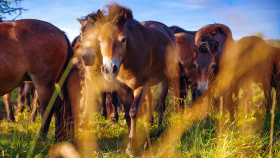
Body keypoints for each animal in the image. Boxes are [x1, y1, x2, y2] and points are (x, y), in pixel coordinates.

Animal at [85, 3, 179, 154]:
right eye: (99, 40)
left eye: (123, 39)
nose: (109, 69)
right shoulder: (122, 89)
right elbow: (127, 114)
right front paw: (132, 143)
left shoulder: (140, 86)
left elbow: (134, 112)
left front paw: (131, 148)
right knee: (152, 100)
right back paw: (151, 123)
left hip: (168, 77)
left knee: (162, 104)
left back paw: (159, 130)